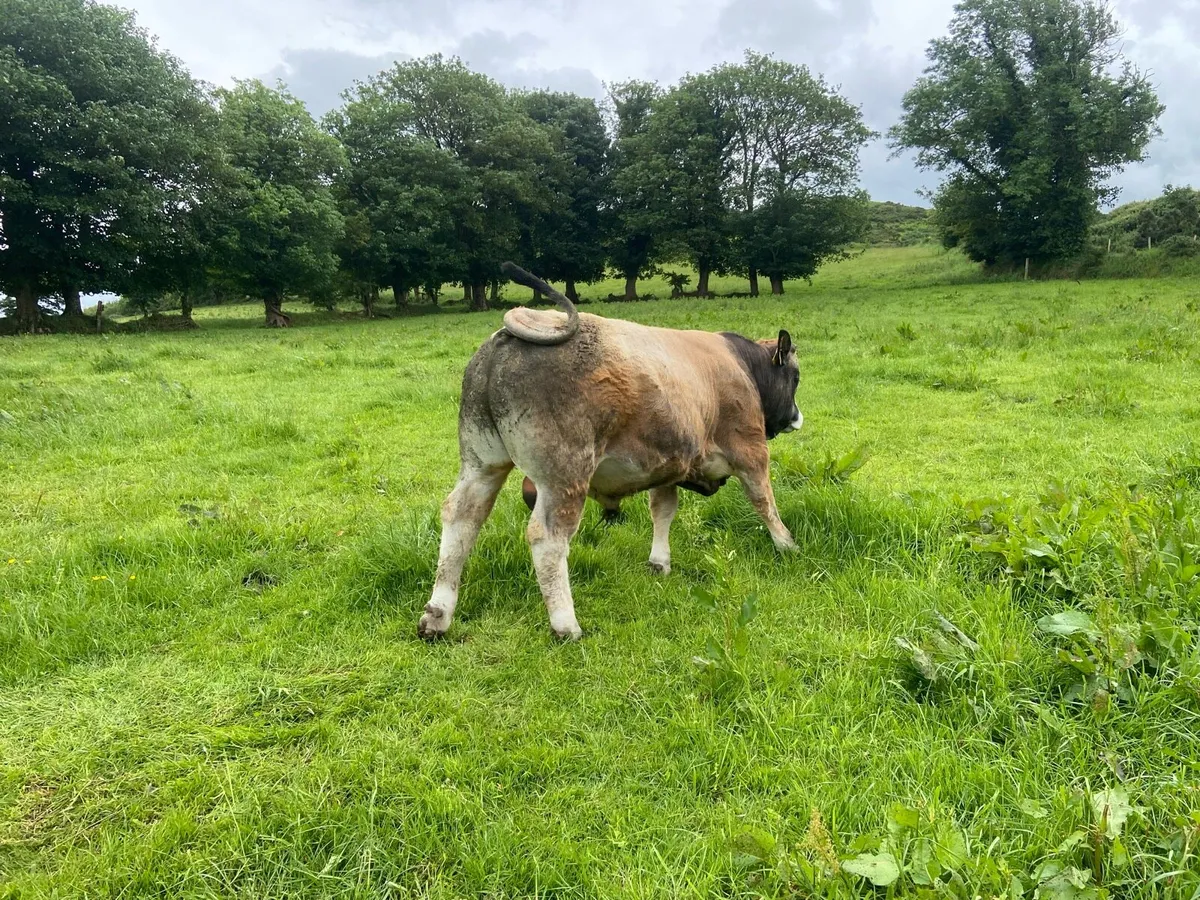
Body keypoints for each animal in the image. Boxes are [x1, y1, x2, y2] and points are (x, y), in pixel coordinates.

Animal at [418, 262, 804, 641]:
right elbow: (764, 502)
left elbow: (663, 510)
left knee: (462, 517)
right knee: (547, 538)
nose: (796, 416)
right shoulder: (750, 450)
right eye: (796, 377)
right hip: (564, 477)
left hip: (481, 464)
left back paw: (437, 616)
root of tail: (507, 339)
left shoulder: (669, 464)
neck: (742, 367)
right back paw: (566, 625)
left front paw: (659, 562)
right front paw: (787, 545)